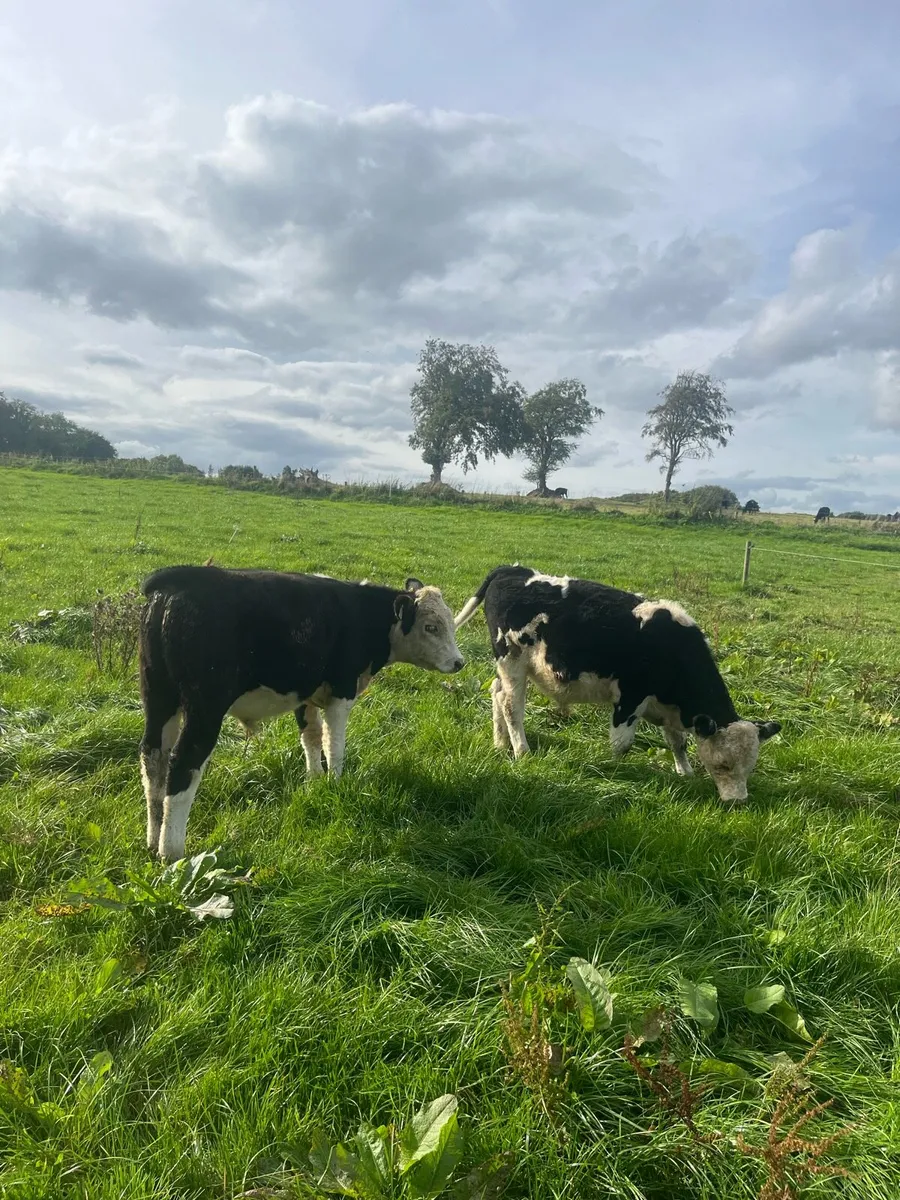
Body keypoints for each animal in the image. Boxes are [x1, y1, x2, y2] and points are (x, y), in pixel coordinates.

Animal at [139, 565, 464, 862]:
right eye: (431, 627)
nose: (459, 662)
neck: (362, 615)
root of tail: (183, 577)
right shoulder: (342, 691)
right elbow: (335, 745)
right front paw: (335, 783)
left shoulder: (305, 696)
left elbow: (311, 737)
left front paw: (315, 781)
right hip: (205, 708)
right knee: (183, 764)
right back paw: (172, 852)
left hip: (158, 698)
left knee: (152, 758)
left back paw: (153, 841)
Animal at [454, 565, 781, 804]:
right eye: (723, 764)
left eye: (749, 766)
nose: (738, 801)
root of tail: (513, 569)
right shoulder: (631, 697)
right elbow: (622, 743)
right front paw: (612, 769)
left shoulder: (667, 706)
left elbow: (678, 741)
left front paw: (685, 772)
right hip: (513, 660)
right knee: (512, 705)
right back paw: (522, 750)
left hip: (507, 668)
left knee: (497, 694)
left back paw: (500, 744)